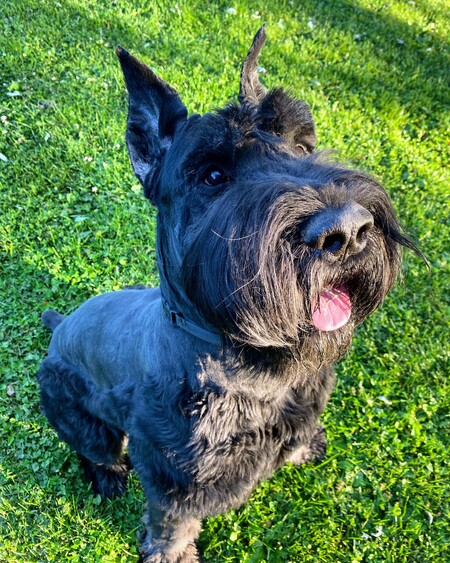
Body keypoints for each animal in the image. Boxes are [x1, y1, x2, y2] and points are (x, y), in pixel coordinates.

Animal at [37, 27, 420, 563]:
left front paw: (305, 447)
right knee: (95, 450)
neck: (253, 368)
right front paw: (169, 555)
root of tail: (59, 330)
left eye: (302, 144)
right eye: (213, 176)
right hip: (78, 413)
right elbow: (172, 528)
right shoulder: (174, 484)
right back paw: (108, 477)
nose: (346, 231)